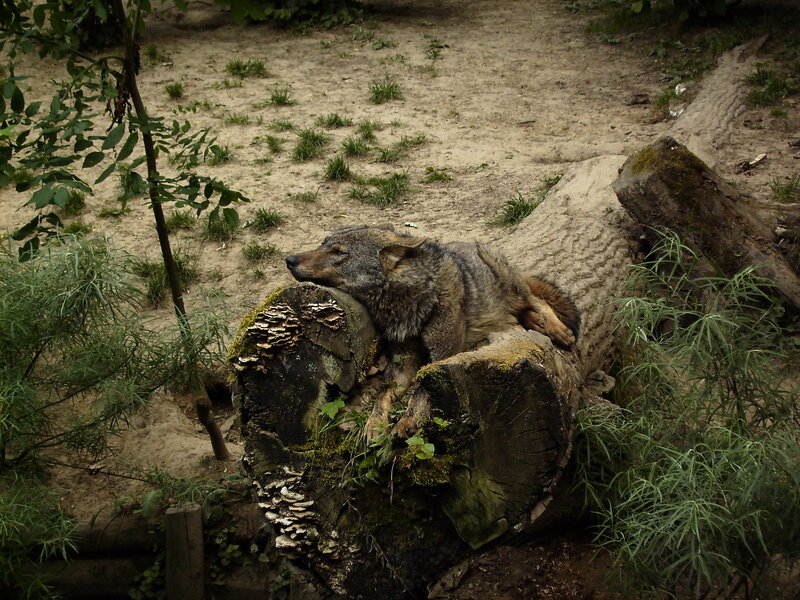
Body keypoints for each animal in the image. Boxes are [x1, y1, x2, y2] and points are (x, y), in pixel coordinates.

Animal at [285, 224, 580, 439]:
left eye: (339, 252)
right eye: (323, 243)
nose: (289, 259)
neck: (408, 304)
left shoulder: (441, 357)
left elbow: (421, 390)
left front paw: (406, 422)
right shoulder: (402, 363)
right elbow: (382, 394)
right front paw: (374, 425)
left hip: (512, 286)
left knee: (537, 300)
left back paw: (556, 329)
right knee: (523, 310)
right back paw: (536, 323)